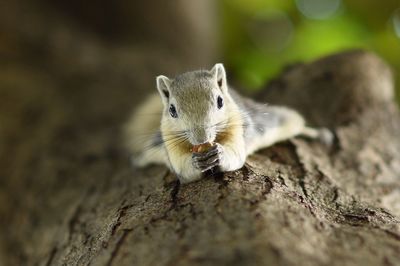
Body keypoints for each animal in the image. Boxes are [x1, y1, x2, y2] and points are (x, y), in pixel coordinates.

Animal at [123, 64, 332, 184]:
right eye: (172, 110)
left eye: (220, 101)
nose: (202, 138)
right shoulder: (168, 139)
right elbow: (185, 172)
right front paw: (195, 162)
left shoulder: (237, 126)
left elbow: (236, 154)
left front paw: (221, 154)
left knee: (295, 122)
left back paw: (318, 134)